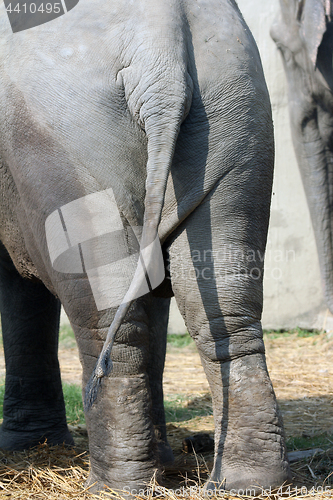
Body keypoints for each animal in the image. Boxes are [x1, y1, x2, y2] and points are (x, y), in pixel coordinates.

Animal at [0, 0, 290, 494]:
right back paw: (245, 482)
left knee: (105, 312)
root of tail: (159, 44)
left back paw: (112, 487)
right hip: (238, 110)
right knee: (225, 302)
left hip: (62, 145)